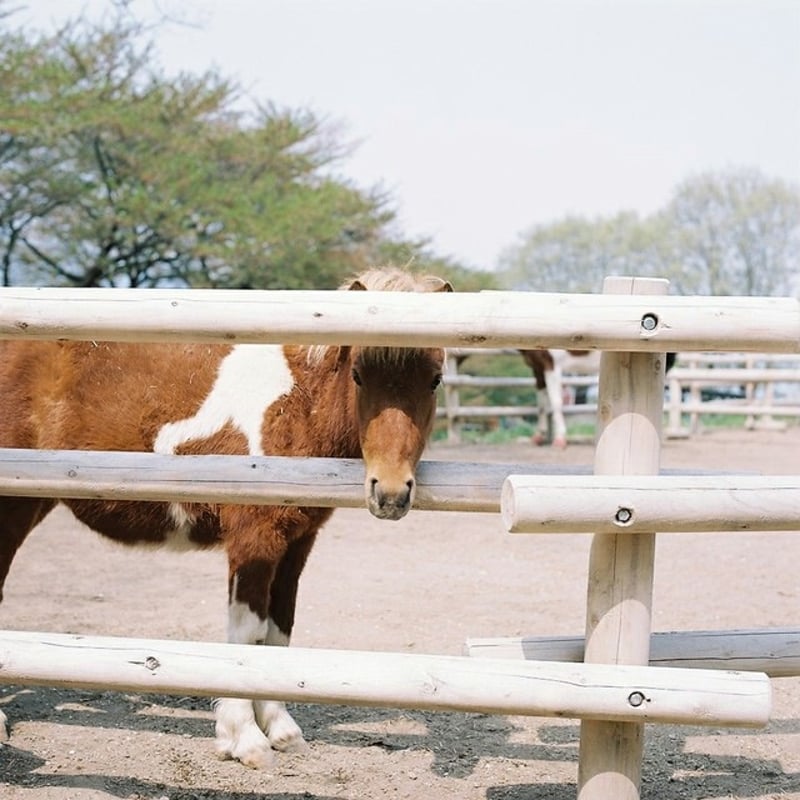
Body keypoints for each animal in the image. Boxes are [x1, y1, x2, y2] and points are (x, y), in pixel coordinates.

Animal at [0, 268, 454, 768]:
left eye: (434, 380)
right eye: (357, 374)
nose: (390, 493)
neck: (296, 403)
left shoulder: (296, 544)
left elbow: (277, 634)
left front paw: (281, 730)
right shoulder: (253, 540)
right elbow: (245, 635)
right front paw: (245, 740)